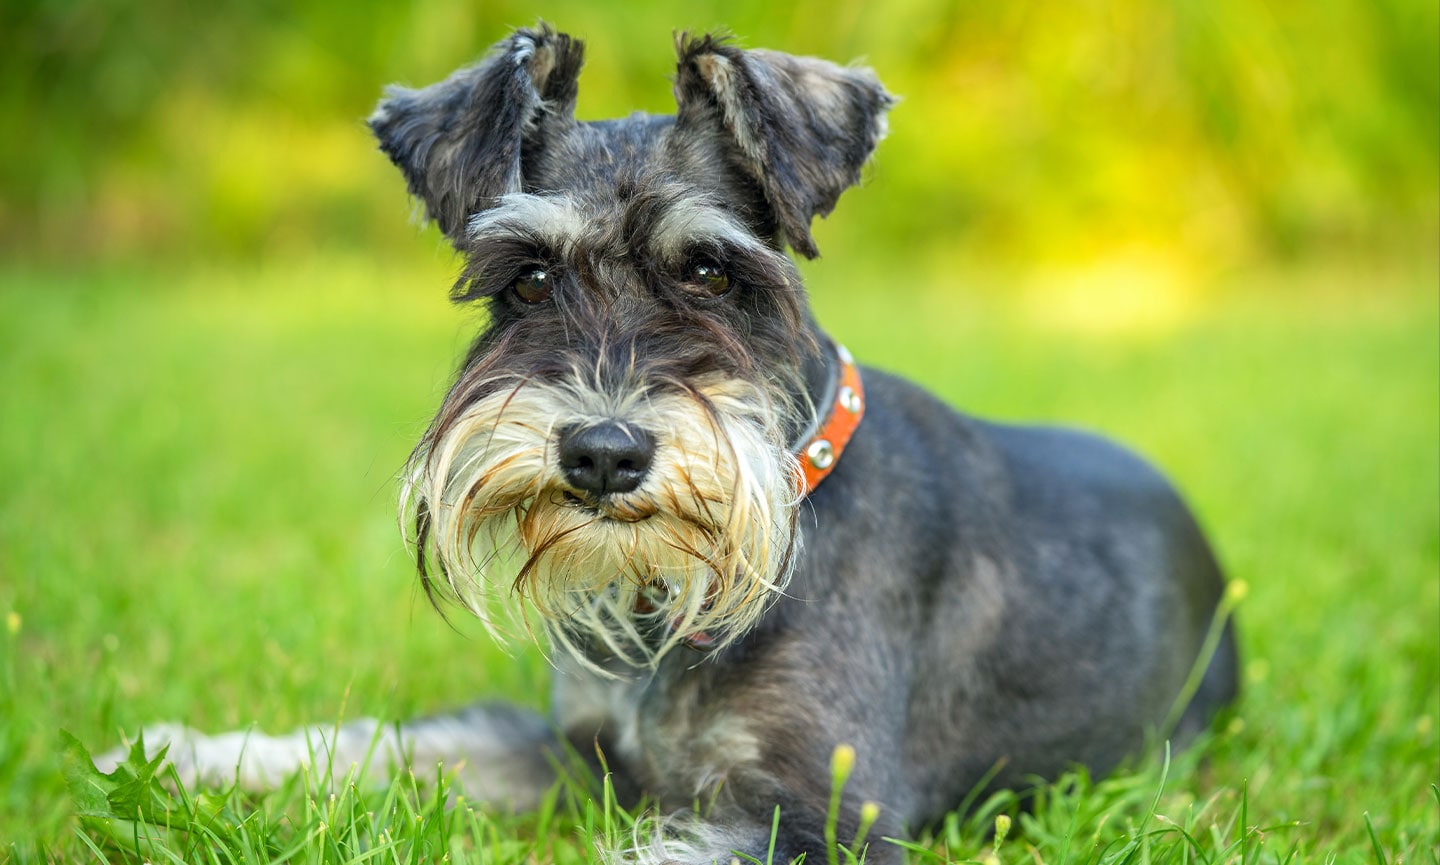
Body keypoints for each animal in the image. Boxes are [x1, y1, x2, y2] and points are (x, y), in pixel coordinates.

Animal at [104, 25, 1249, 863]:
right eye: (529, 278)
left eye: (709, 271)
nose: (603, 454)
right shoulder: (576, 756)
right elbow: (401, 743)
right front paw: (184, 755)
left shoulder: (819, 815)